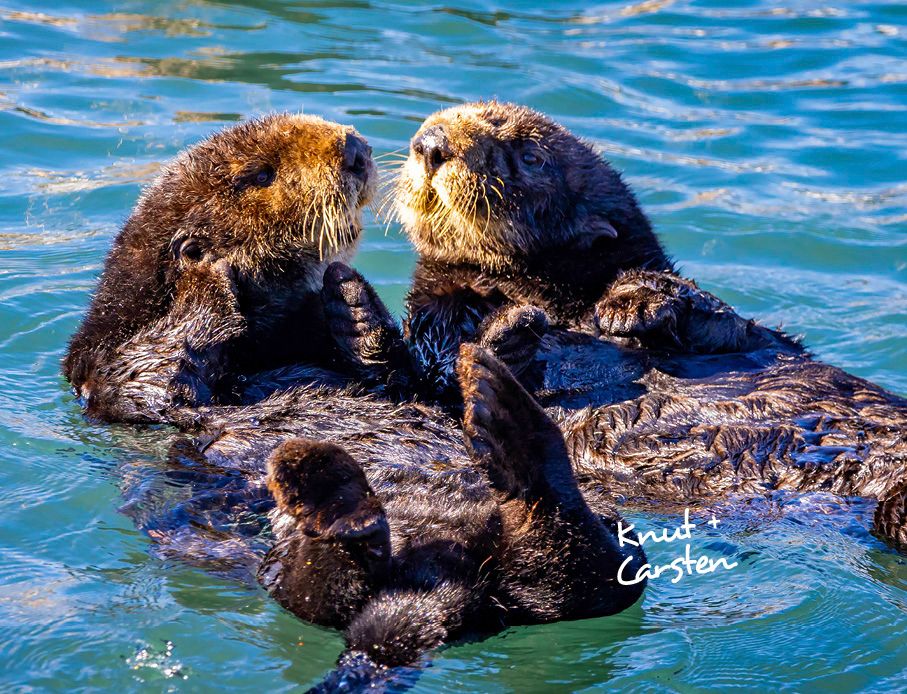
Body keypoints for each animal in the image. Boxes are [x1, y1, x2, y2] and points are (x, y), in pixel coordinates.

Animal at [63, 113, 377, 423]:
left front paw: (353, 303)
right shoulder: (101, 377)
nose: (354, 149)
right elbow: (150, 381)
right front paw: (203, 275)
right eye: (261, 174)